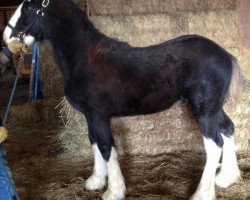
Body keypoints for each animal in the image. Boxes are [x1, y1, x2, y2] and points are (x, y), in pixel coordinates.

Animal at [3, 0, 242, 199]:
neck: (84, 58)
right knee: (228, 129)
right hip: (213, 109)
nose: (7, 37)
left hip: (203, 111)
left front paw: (114, 191)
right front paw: (96, 180)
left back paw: (202, 193)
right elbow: (94, 142)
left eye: (28, 8)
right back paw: (226, 178)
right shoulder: (90, 117)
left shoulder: (99, 116)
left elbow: (106, 147)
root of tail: (225, 55)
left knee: (214, 144)